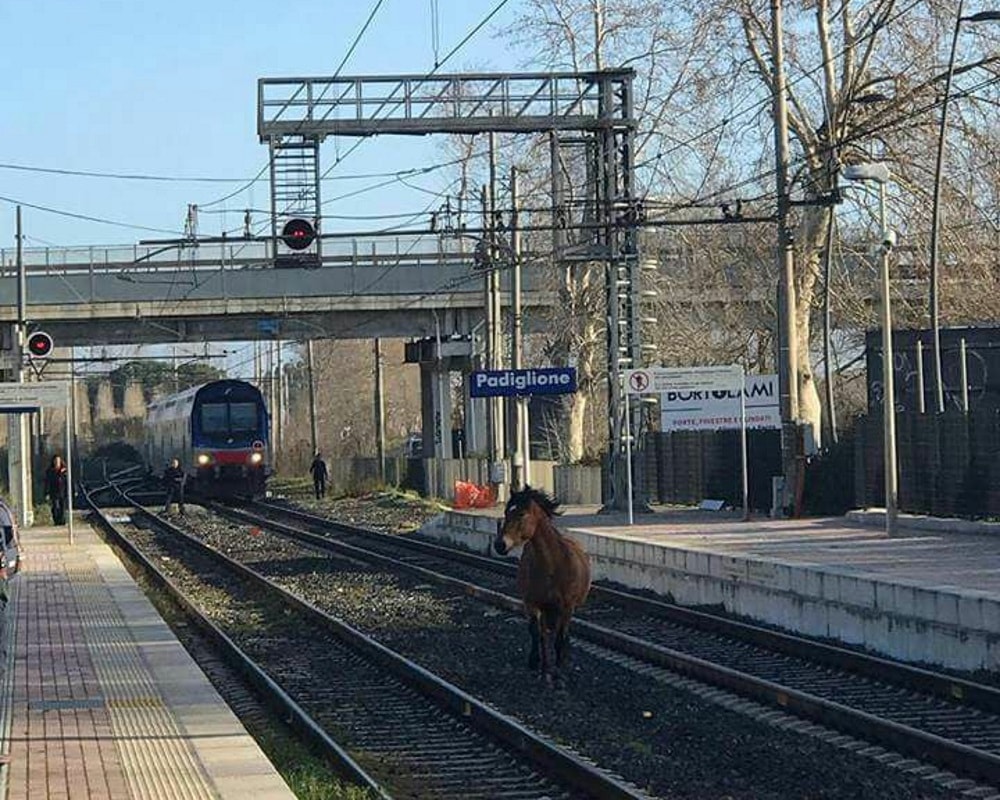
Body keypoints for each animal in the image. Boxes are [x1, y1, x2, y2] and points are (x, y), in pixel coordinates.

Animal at [494, 486, 591, 684]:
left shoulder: (566, 607)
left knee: (563, 634)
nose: (500, 545)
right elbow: (537, 633)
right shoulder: (533, 604)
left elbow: (560, 638)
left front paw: (559, 672)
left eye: (521, 513)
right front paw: (540, 667)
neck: (552, 565)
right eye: (506, 512)